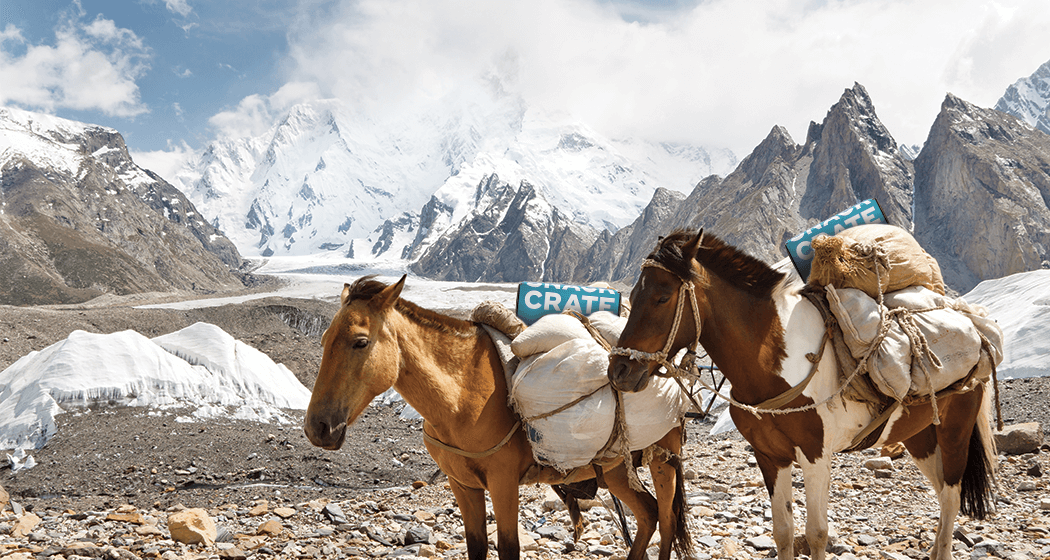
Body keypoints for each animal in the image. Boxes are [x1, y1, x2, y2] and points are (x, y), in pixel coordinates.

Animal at [304, 273, 692, 558]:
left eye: (360, 342)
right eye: (323, 340)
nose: (318, 428)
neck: (463, 397)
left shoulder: (503, 482)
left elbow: (508, 548)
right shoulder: (462, 485)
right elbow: (476, 547)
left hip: (663, 459)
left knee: (667, 521)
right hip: (614, 470)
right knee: (649, 514)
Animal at [609, 229, 991, 558]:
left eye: (662, 297)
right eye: (632, 296)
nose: (619, 371)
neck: (772, 359)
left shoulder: (815, 455)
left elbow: (816, 533)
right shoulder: (770, 457)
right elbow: (783, 531)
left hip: (954, 431)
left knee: (952, 496)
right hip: (919, 436)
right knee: (941, 491)